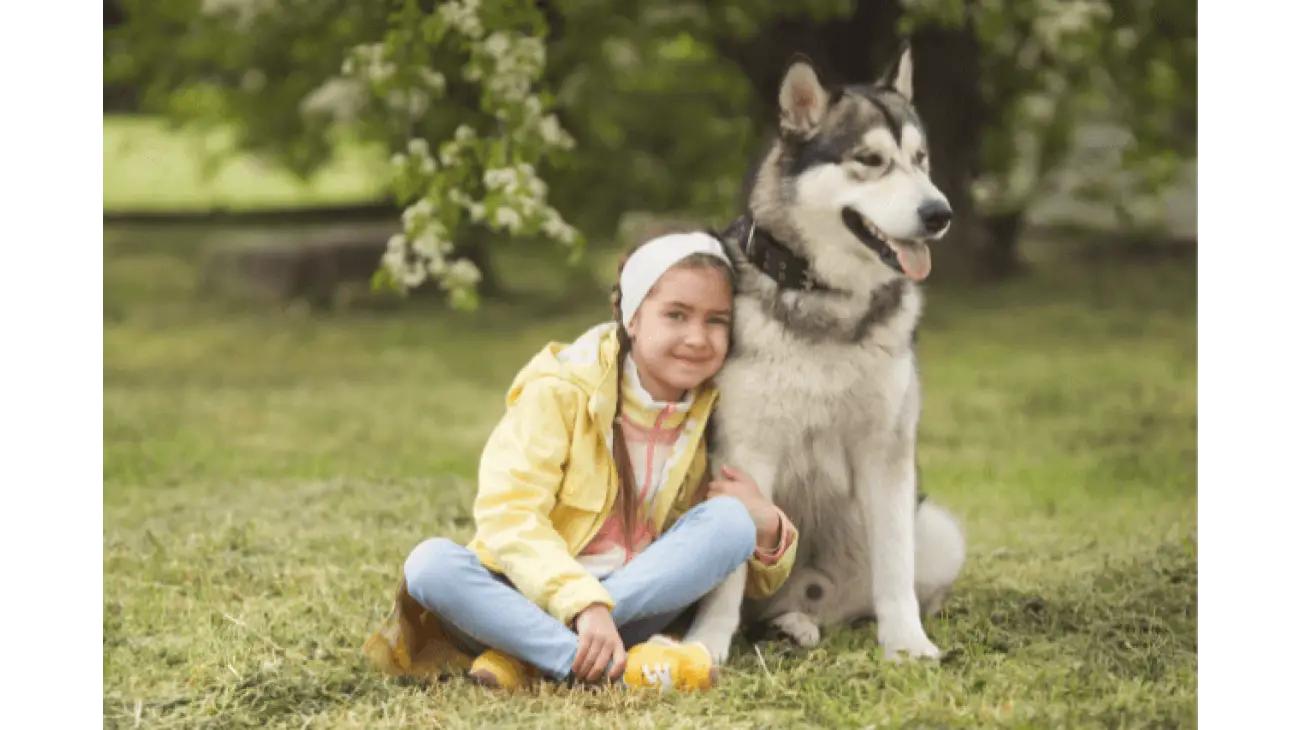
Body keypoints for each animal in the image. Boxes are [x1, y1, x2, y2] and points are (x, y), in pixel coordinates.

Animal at [681, 44, 967, 659]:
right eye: (870, 160)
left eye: (921, 159)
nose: (940, 213)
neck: (827, 301)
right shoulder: (746, 451)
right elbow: (726, 574)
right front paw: (708, 642)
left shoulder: (887, 450)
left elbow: (894, 565)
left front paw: (907, 644)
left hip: (936, 528)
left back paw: (806, 623)